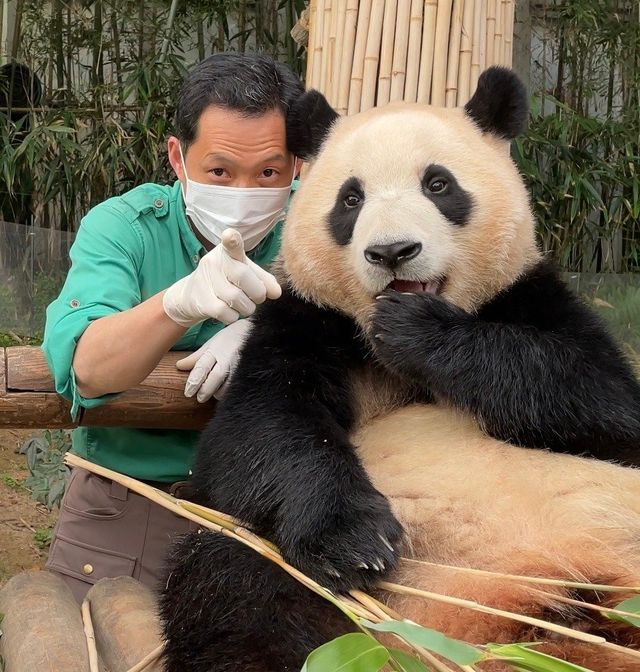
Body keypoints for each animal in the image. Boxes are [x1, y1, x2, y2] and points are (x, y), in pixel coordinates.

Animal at [160, 68, 640, 672]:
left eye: (438, 185)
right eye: (350, 199)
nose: (392, 251)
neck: (377, 345)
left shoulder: (529, 296)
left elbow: (605, 402)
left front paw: (422, 330)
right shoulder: (308, 322)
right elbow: (261, 431)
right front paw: (356, 544)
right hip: (288, 575)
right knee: (239, 588)